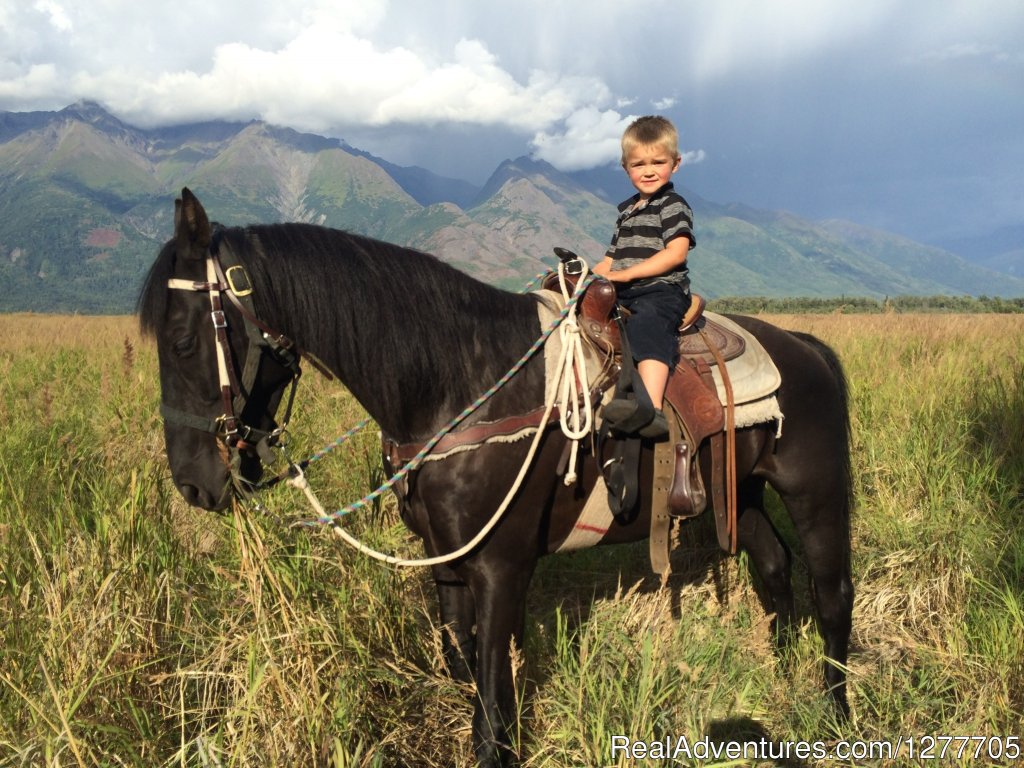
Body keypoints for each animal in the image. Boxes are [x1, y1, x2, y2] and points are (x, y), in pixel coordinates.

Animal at [138, 189, 856, 765]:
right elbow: (465, 666)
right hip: (745, 489)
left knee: (832, 592)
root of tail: (806, 346)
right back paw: (781, 671)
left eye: (181, 341)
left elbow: (491, 703)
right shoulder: (446, 560)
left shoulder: (501, 566)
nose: (193, 484)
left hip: (815, 493)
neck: (458, 382)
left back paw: (836, 711)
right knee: (773, 565)